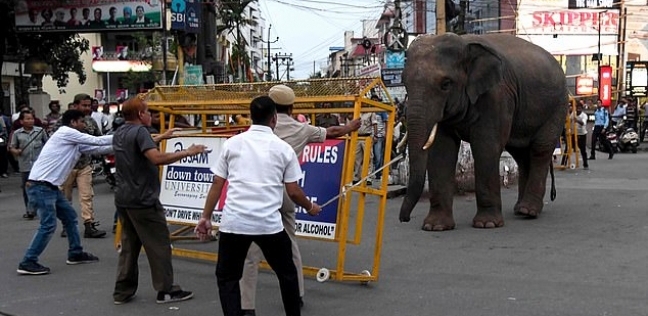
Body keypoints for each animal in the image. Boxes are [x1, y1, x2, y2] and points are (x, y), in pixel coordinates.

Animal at [400, 33, 568, 231]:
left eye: (445, 84)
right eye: (404, 83)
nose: (405, 219)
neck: (465, 44)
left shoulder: (496, 96)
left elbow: (486, 146)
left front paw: (487, 224)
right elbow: (441, 150)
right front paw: (435, 227)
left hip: (557, 106)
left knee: (540, 150)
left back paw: (529, 211)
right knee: (521, 155)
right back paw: (521, 210)